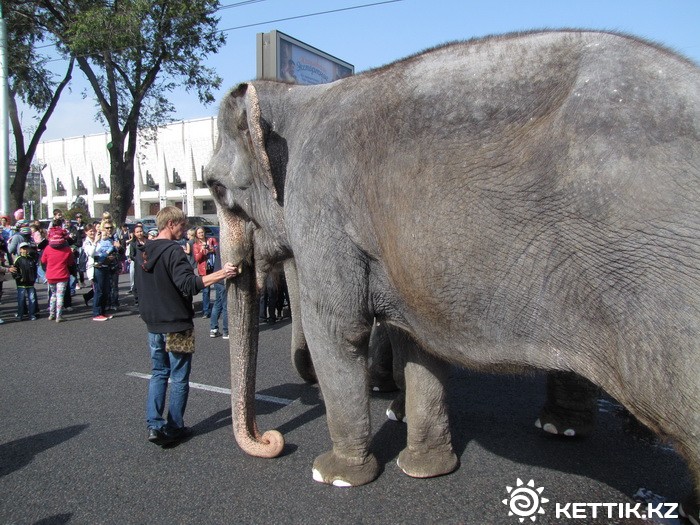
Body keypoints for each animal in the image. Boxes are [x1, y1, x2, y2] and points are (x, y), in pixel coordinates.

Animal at [208, 29, 700, 516]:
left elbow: (337, 329)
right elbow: (417, 342)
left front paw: (333, 475)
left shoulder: (321, 207)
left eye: (214, 188)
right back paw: (560, 430)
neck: (299, 96)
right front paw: (425, 468)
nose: (272, 440)